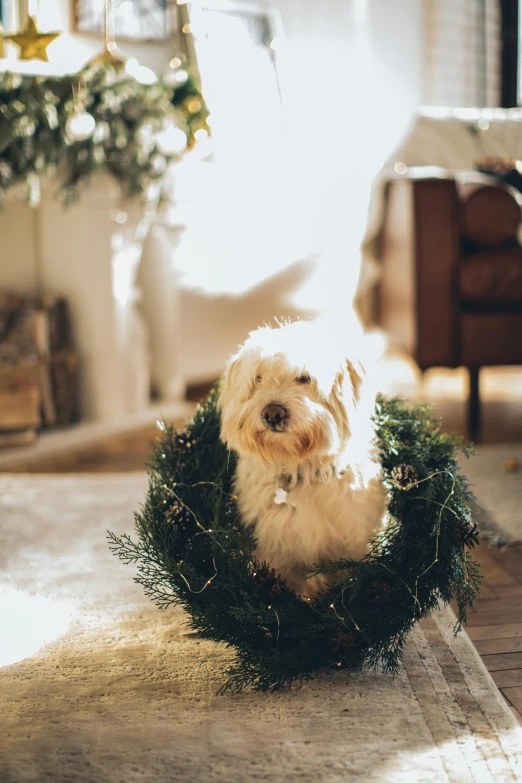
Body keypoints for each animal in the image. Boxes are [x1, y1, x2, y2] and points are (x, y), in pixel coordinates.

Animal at [217, 322, 384, 596]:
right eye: (259, 378)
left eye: (304, 378)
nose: (272, 413)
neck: (299, 468)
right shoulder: (274, 550)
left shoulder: (354, 543)